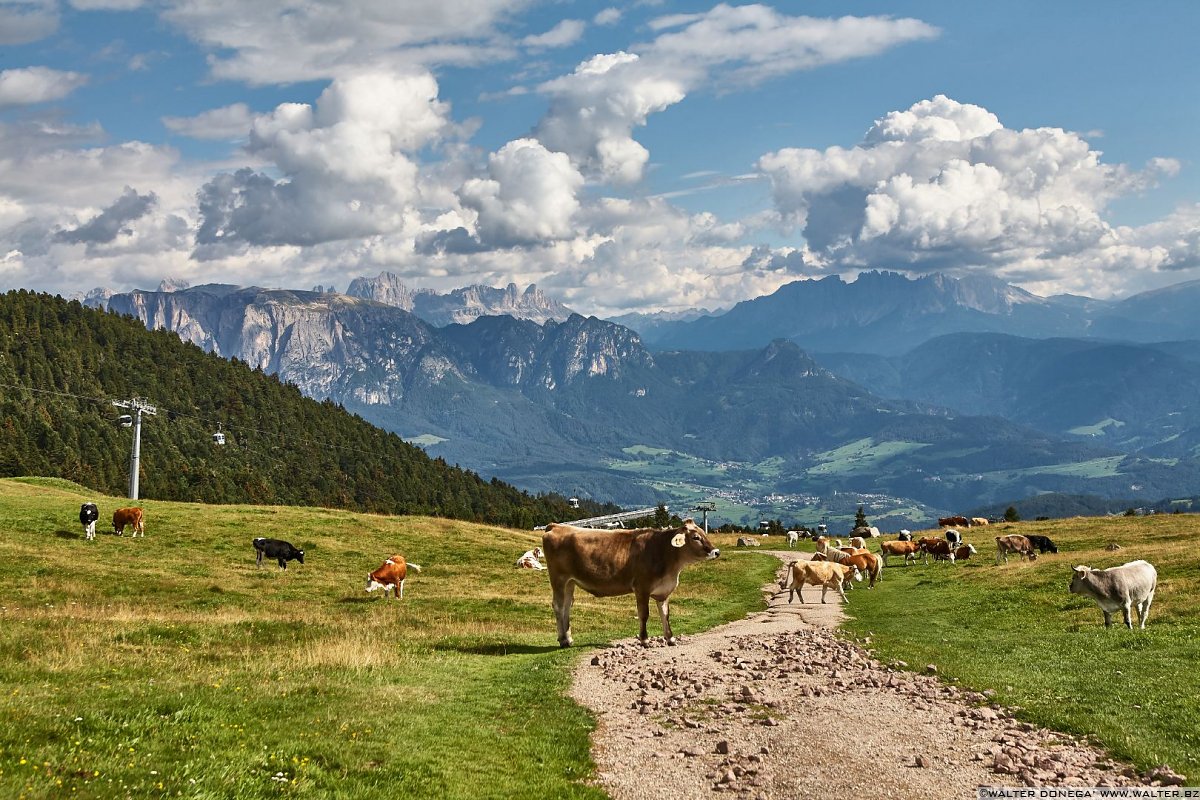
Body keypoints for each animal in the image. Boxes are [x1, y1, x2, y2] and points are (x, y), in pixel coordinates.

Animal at [544, 520, 720, 652]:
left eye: (704, 533)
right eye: (696, 537)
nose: (716, 551)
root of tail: (556, 526)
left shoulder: (664, 591)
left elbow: (665, 614)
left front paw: (670, 638)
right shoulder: (642, 587)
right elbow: (644, 614)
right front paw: (644, 640)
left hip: (570, 582)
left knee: (567, 606)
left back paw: (568, 638)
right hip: (559, 579)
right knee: (558, 606)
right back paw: (563, 640)